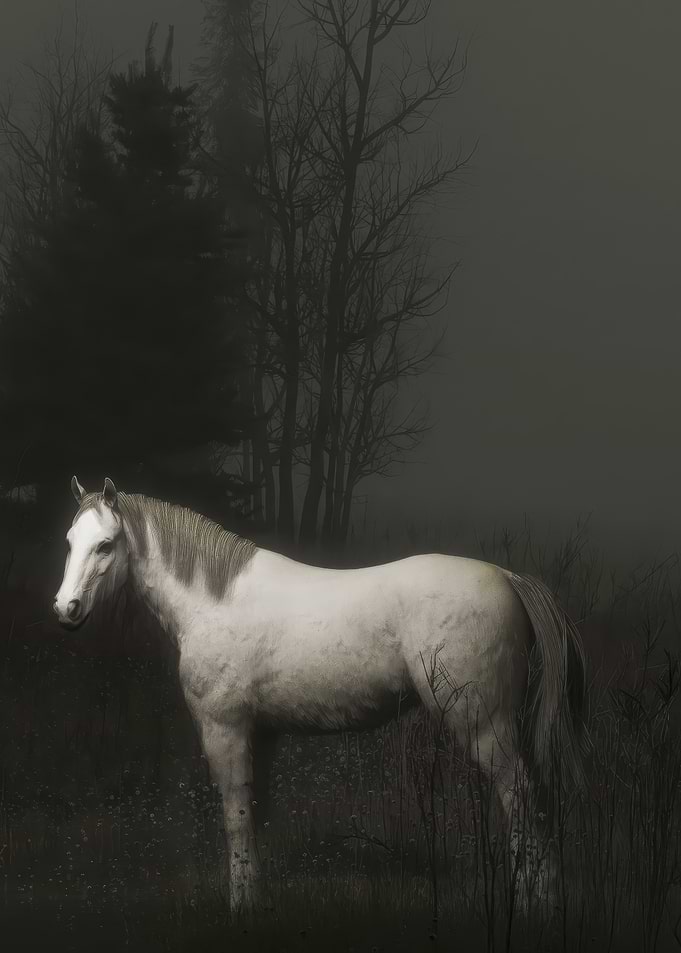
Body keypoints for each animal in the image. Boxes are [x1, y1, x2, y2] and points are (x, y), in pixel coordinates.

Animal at [53, 477, 588, 910]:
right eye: (71, 541)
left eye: (105, 545)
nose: (66, 609)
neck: (214, 600)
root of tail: (510, 578)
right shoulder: (260, 735)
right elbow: (254, 812)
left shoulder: (225, 729)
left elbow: (235, 816)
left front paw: (241, 905)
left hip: (483, 725)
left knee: (521, 798)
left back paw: (534, 901)